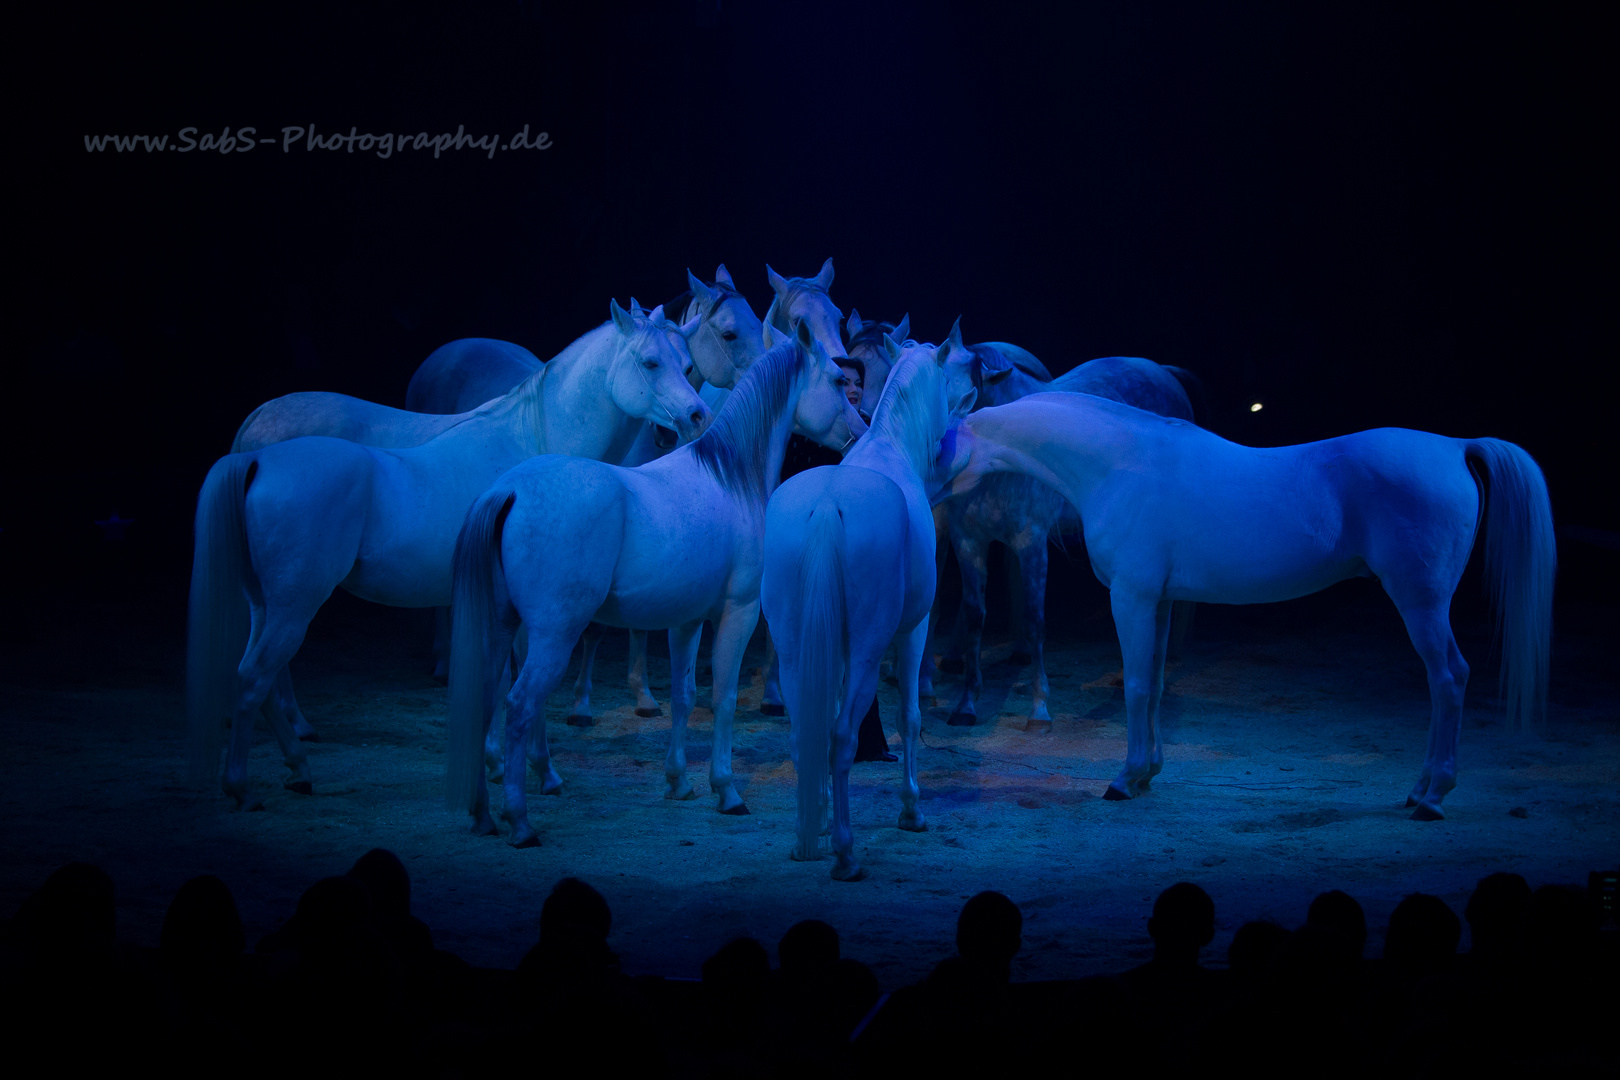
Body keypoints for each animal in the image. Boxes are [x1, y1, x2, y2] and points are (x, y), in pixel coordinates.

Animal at [186, 299, 712, 806]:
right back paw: (246, 783)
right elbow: (516, 687)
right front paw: (536, 770)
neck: (533, 446)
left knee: (260, 678)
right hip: (294, 604)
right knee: (256, 676)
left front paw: (496, 763)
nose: (697, 417)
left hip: (266, 604)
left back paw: (297, 765)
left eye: (687, 364)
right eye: (650, 362)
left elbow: (496, 682)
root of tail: (256, 455)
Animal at [443, 325, 868, 848]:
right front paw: (727, 790)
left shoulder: (686, 622)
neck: (729, 478)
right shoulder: (738, 613)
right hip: (553, 636)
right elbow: (723, 697)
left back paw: (484, 813)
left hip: (504, 627)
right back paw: (521, 821)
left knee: (484, 700)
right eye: (837, 381)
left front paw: (679, 781)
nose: (861, 430)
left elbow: (685, 697)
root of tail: (510, 490)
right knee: (520, 707)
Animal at [939, 393, 1555, 822]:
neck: (1119, 464)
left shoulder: (1132, 597)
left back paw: (1432, 797)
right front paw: (1147, 774)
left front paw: (1123, 779)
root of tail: (1453, 445)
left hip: (1421, 602)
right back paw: (1418, 791)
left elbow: (1135, 686)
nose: (930, 502)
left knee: (1449, 679)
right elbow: (1154, 685)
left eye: (938, 439)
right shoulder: (1161, 602)